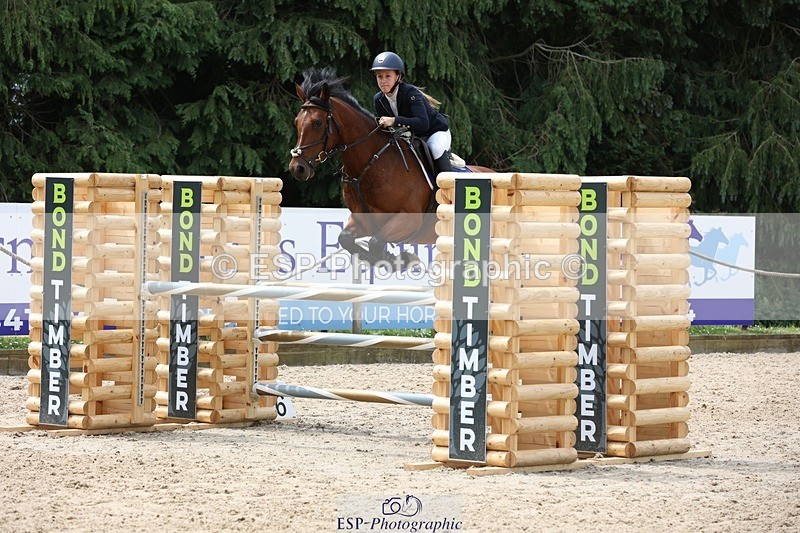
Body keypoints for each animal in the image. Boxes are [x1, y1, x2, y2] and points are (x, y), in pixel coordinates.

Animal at [289, 68, 491, 268]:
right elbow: (348, 239)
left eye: (317, 123)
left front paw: (403, 259)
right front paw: (392, 260)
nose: (297, 168)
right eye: (296, 122)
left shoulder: (408, 220)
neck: (368, 167)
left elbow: (375, 243)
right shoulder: (363, 221)